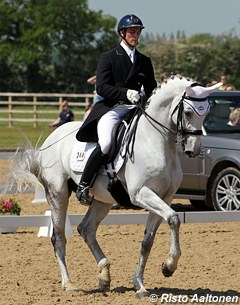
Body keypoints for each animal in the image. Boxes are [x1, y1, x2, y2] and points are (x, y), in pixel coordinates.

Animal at [11, 76, 221, 296]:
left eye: (206, 112)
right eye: (188, 112)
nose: (193, 150)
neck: (155, 142)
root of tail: (49, 141)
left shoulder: (164, 197)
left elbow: (148, 240)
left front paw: (140, 283)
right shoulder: (141, 194)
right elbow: (173, 218)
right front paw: (169, 266)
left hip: (102, 200)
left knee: (87, 229)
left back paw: (104, 275)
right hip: (57, 193)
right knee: (58, 236)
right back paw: (69, 284)